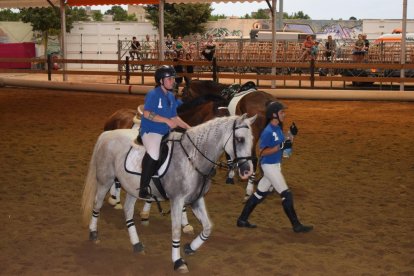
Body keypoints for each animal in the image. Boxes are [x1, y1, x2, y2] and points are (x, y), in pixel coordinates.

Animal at [81, 115, 256, 274]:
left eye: (252, 139)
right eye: (240, 139)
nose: (248, 171)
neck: (193, 159)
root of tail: (107, 134)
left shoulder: (196, 200)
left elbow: (208, 227)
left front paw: (190, 247)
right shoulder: (177, 200)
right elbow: (176, 230)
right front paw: (178, 261)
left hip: (132, 188)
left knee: (128, 211)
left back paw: (136, 244)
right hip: (105, 181)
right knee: (97, 204)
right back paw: (93, 233)